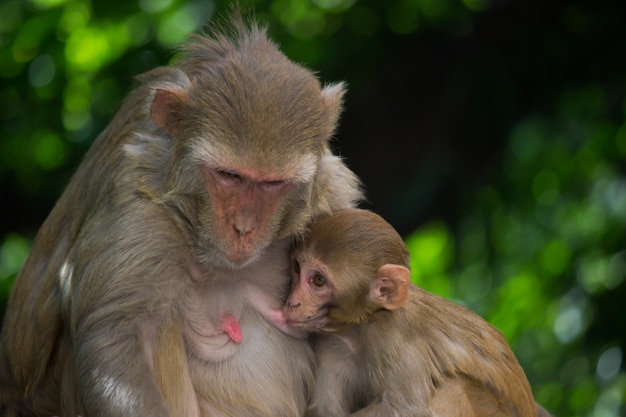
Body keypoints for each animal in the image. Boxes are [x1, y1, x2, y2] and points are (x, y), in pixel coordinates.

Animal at [0, 13, 360, 416]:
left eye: (273, 184)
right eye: (229, 175)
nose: (243, 228)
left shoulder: (332, 197)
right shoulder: (138, 205)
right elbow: (115, 333)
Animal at [282, 208, 540, 416]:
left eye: (318, 280)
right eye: (297, 268)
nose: (293, 302)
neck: (361, 326)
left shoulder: (393, 337)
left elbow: (403, 409)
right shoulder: (333, 346)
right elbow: (326, 409)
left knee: (455, 387)